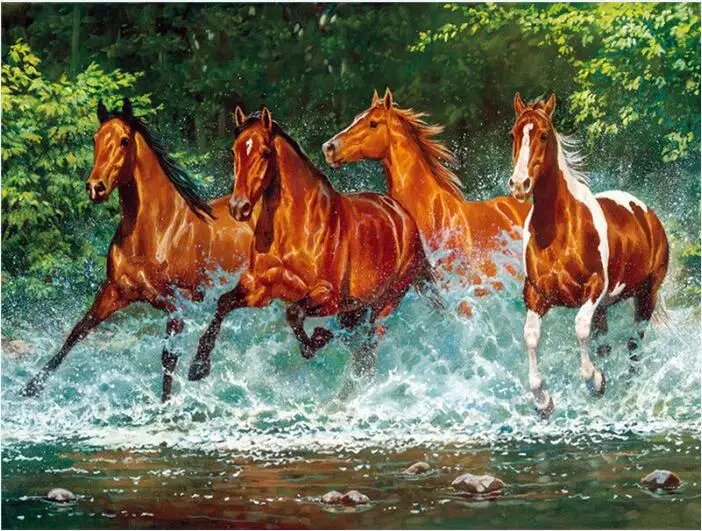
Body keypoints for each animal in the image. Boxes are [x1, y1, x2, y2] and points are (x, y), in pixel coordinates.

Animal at [20, 98, 255, 402]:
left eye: (124, 141)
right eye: (95, 138)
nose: (95, 187)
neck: (158, 231)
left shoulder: (177, 305)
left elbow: (168, 358)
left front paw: (165, 405)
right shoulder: (113, 292)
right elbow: (77, 332)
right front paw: (31, 387)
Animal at [186, 106, 442, 382]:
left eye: (265, 152)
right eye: (235, 151)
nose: (238, 208)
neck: (293, 230)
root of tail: (403, 215)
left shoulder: (327, 296)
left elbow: (293, 314)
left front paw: (318, 339)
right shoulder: (259, 287)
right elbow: (223, 303)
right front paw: (197, 366)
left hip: (384, 303)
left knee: (369, 344)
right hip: (355, 310)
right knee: (361, 350)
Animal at [508, 92, 669, 416]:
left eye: (543, 135)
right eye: (513, 134)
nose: (519, 185)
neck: (557, 231)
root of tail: (647, 213)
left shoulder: (593, 290)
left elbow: (580, 330)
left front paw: (595, 381)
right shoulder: (537, 295)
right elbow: (531, 338)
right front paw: (544, 401)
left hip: (647, 295)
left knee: (635, 345)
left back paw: (628, 390)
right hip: (606, 308)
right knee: (606, 345)